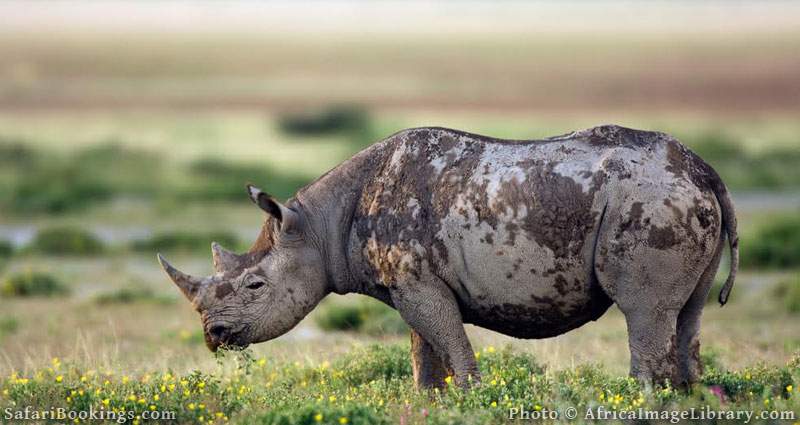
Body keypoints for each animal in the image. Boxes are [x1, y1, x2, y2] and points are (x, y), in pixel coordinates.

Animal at [156, 125, 736, 388]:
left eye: (254, 286)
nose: (213, 335)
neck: (316, 227)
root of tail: (703, 170)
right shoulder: (409, 283)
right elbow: (425, 352)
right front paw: (428, 402)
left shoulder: (417, 283)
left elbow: (452, 347)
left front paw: (472, 399)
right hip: (678, 201)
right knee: (687, 315)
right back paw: (691, 397)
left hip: (651, 203)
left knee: (644, 311)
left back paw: (645, 396)